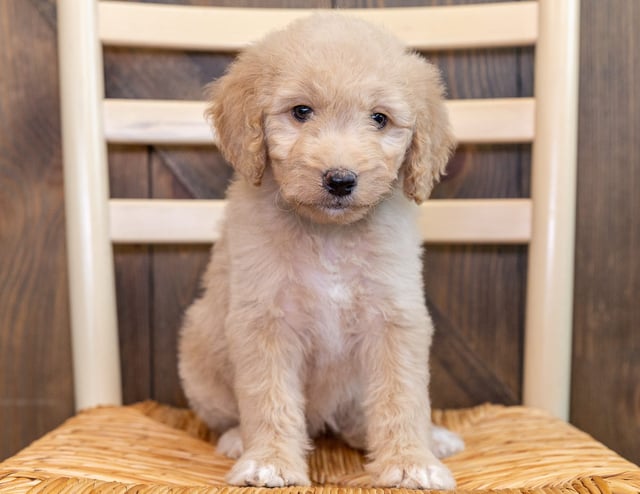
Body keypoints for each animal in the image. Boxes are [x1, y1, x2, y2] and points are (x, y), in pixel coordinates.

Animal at [178, 11, 462, 490]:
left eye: (379, 119)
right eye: (301, 112)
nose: (340, 180)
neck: (330, 236)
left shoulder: (395, 317)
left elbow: (401, 394)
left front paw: (410, 461)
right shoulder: (264, 320)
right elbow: (268, 395)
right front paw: (270, 461)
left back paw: (430, 438)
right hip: (199, 348)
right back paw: (237, 439)